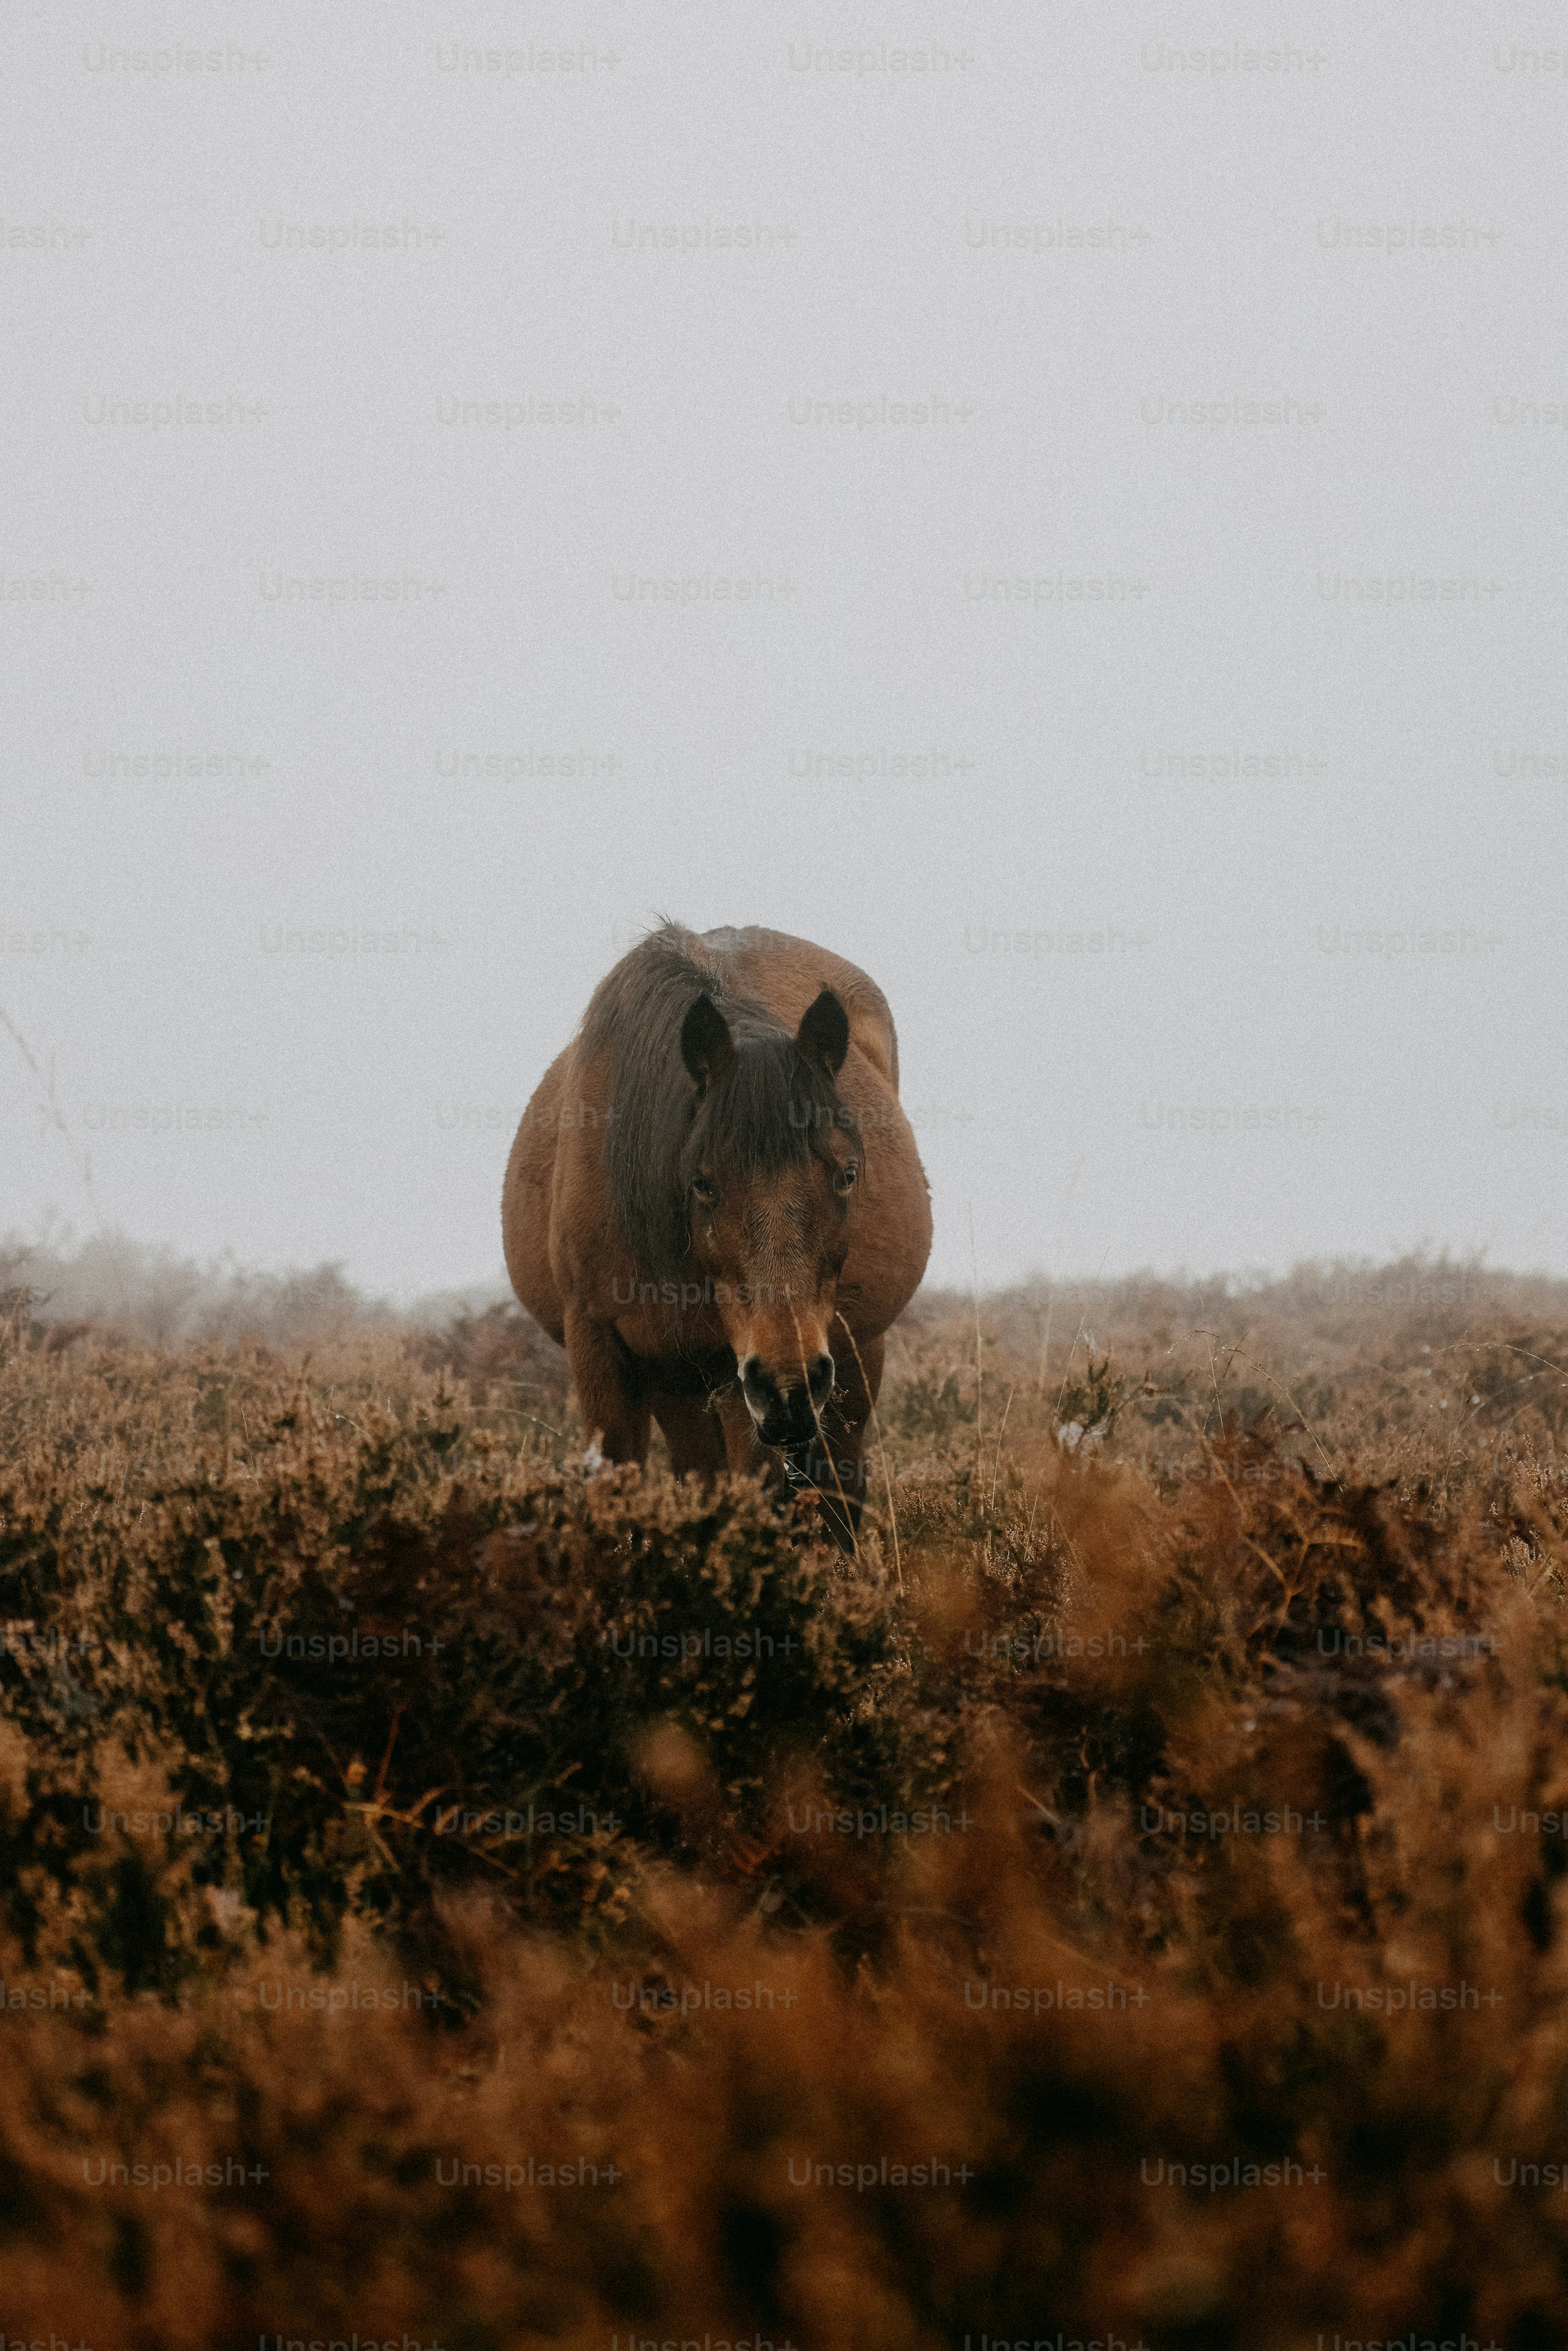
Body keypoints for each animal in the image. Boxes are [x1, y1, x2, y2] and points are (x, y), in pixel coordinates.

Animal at [502, 922, 932, 1546]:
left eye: (848, 1173)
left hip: (848, 1358)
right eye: (702, 1182)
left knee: (837, 1492)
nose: (789, 1386)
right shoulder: (603, 1354)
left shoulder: (739, 1377)